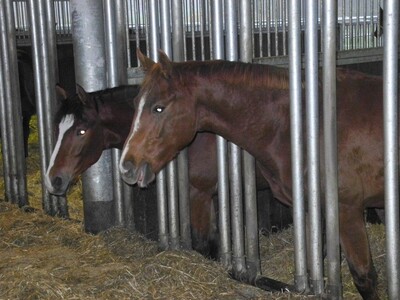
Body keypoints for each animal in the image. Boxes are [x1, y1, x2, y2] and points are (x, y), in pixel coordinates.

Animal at [119, 50, 388, 298]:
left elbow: (364, 277)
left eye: (159, 108)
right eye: (134, 104)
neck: (304, 126)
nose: (127, 166)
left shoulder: (346, 210)